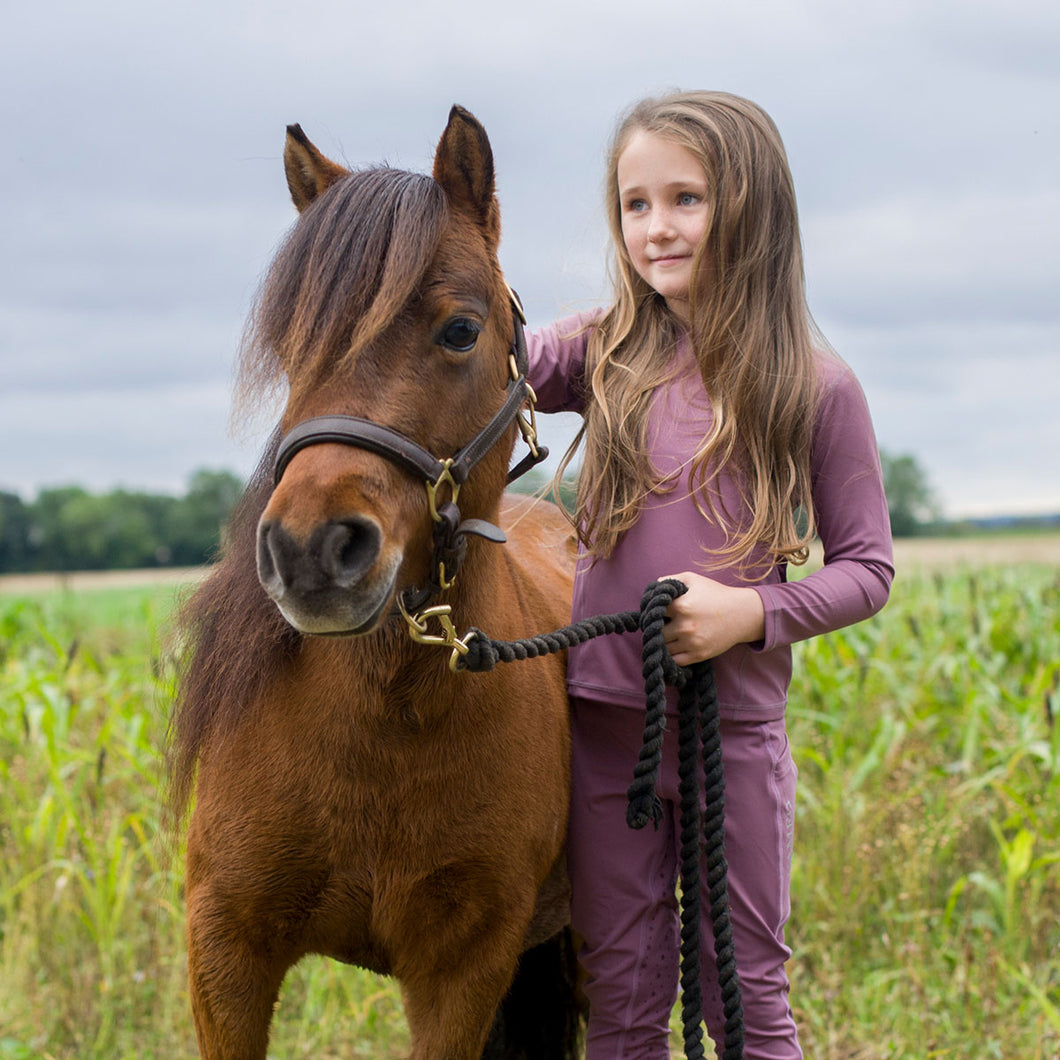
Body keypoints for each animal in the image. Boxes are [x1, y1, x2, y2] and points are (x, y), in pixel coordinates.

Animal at [166, 109, 585, 1060]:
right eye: (290, 348)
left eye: (460, 331)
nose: (312, 551)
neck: (380, 722)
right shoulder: (226, 949)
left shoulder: (462, 973)